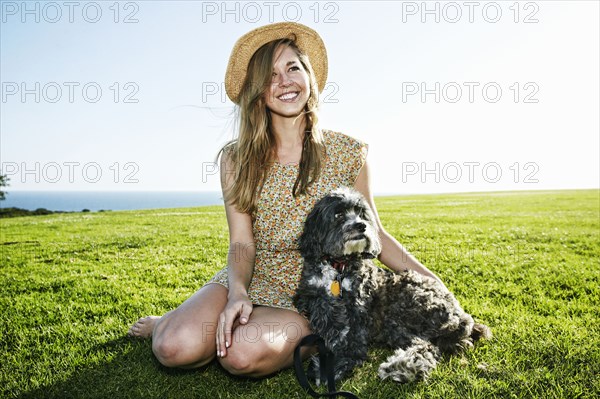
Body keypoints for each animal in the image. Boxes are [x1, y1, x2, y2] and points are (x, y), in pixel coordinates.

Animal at [292, 189, 490, 386]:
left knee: (427, 346)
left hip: (401, 308)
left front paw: (339, 365)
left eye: (361, 213)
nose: (361, 226)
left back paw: (400, 369)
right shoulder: (319, 303)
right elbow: (333, 334)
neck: (339, 267)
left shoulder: (358, 307)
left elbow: (351, 339)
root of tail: (461, 317)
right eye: (338, 214)